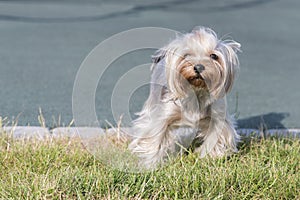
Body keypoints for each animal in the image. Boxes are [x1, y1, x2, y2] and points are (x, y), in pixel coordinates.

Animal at [129, 25, 241, 168]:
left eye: (214, 56)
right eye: (187, 55)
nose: (198, 67)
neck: (197, 90)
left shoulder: (217, 118)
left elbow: (216, 137)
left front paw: (209, 158)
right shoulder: (161, 116)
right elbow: (154, 138)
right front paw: (151, 165)